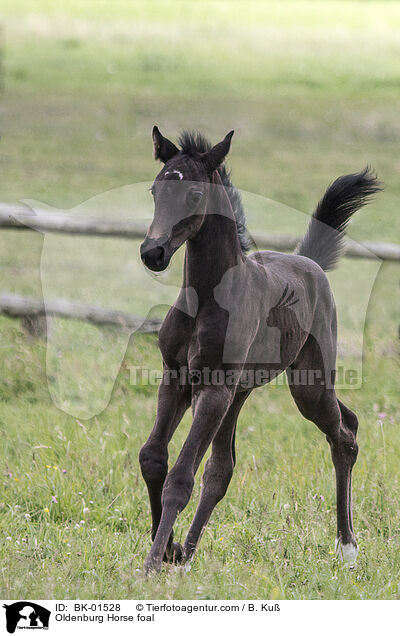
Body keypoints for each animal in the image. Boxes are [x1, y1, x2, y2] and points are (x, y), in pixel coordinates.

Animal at [139, 126, 380, 572]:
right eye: (155, 189)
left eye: (194, 195)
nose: (153, 252)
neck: (207, 297)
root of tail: (310, 264)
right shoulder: (176, 378)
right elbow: (154, 459)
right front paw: (168, 550)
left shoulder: (214, 388)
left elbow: (180, 477)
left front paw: (151, 564)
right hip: (241, 393)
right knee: (222, 470)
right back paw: (188, 553)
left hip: (307, 386)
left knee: (346, 433)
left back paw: (347, 548)